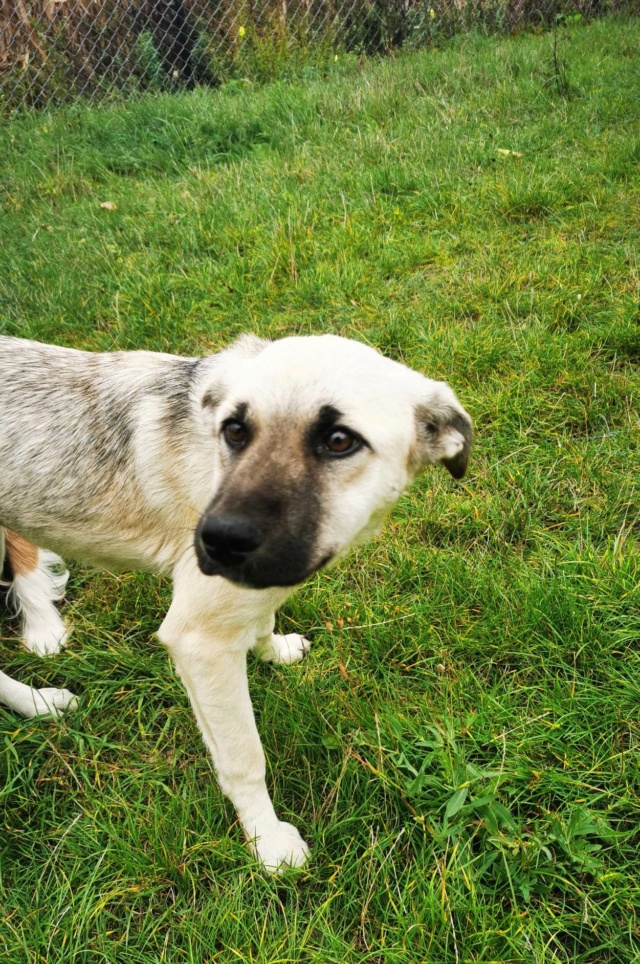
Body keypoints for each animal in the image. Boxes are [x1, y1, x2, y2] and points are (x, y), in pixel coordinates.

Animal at [0, 336, 470, 868]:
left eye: (339, 440)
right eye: (235, 430)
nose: (214, 540)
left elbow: (263, 619)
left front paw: (272, 650)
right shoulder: (198, 642)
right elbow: (245, 759)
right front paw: (267, 841)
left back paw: (39, 703)